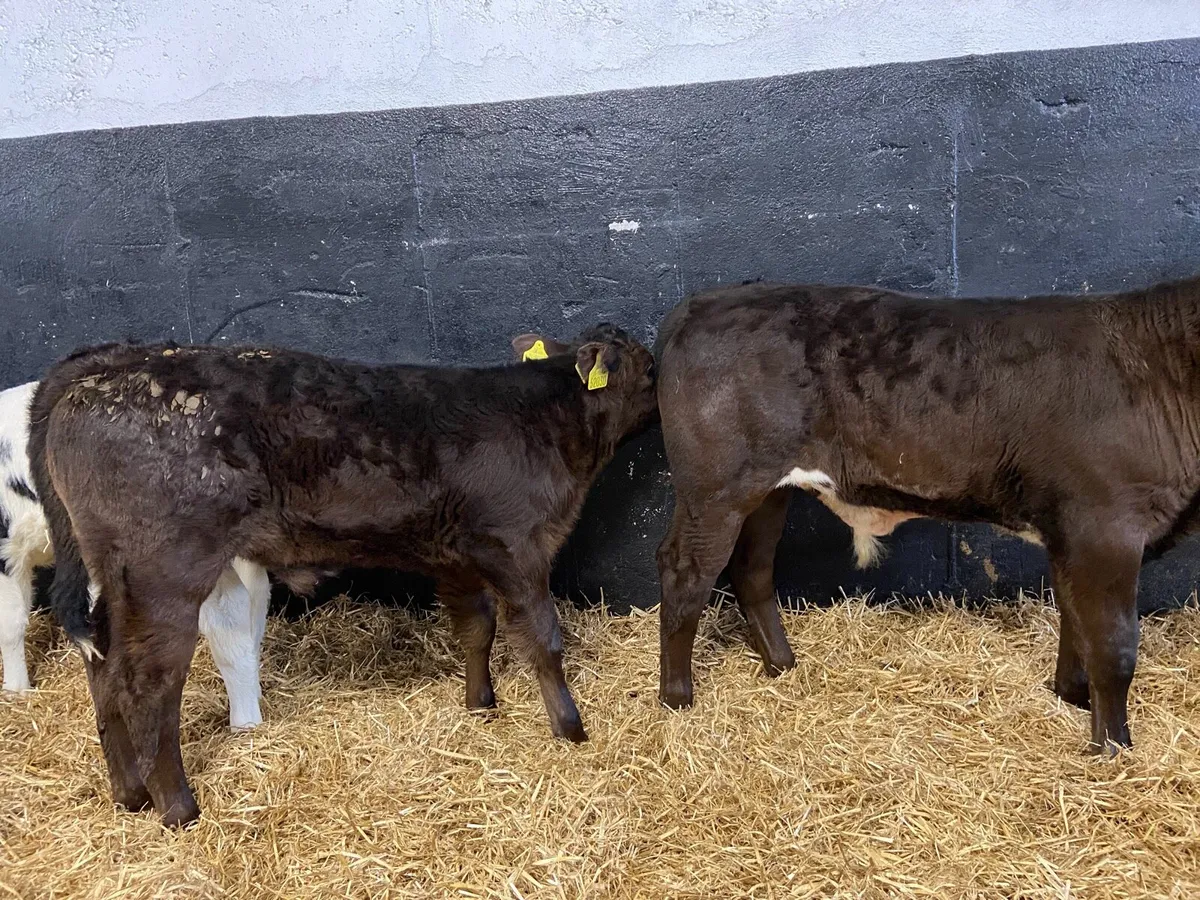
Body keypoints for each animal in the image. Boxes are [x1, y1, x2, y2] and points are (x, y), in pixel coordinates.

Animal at [29, 324, 657, 826]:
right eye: (650, 369)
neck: (548, 421)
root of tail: (114, 363)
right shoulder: (519, 546)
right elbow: (545, 639)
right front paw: (570, 727)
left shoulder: (460, 554)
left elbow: (476, 629)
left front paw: (482, 703)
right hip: (167, 573)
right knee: (148, 684)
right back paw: (179, 809)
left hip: (110, 574)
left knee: (103, 669)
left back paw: (130, 794)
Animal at [653, 276, 1200, 756]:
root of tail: (700, 303)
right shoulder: (1104, 527)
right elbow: (1114, 645)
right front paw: (1114, 750)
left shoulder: (1069, 530)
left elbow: (1075, 620)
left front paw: (1071, 697)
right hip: (715, 489)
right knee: (685, 572)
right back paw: (676, 697)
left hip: (768, 489)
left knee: (752, 568)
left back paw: (782, 666)